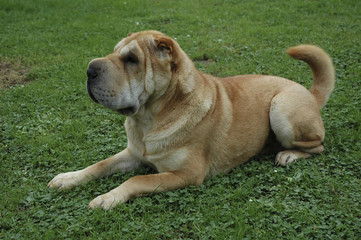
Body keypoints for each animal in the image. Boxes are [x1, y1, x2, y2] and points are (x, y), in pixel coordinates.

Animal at [46, 30, 334, 210]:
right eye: (114, 52)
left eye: (131, 59)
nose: (89, 70)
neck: (149, 120)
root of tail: (309, 92)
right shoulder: (133, 153)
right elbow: (100, 164)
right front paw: (68, 178)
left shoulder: (186, 174)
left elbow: (139, 180)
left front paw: (108, 197)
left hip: (281, 109)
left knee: (319, 146)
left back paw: (287, 154)